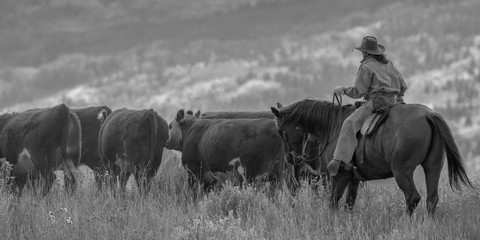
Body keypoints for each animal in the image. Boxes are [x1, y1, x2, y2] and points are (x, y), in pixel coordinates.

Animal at [272, 97, 474, 216]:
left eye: (281, 131)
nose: (291, 159)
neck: (332, 125)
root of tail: (428, 115)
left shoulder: (338, 176)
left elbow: (333, 202)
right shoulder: (353, 178)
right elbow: (349, 204)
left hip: (402, 172)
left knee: (412, 198)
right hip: (433, 167)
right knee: (431, 199)